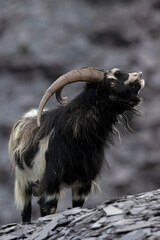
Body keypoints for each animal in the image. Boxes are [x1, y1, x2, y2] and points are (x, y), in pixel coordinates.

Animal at [8, 66, 145, 222]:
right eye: (111, 83)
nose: (138, 75)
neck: (77, 137)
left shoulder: (83, 183)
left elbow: (77, 206)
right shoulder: (51, 182)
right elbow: (48, 209)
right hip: (23, 183)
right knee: (26, 211)